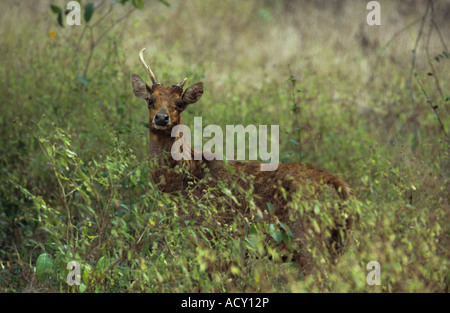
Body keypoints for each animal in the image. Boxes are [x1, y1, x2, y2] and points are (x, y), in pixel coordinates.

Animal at [132, 47, 354, 272]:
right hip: (337, 244)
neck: (185, 183)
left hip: (308, 238)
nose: (161, 118)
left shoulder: (211, 231)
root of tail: (341, 189)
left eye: (179, 103)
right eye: (150, 100)